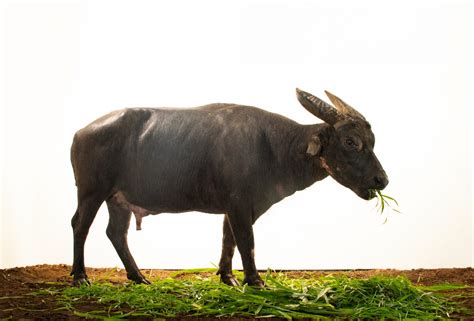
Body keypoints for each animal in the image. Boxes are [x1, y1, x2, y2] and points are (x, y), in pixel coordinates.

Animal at [71, 87, 388, 284]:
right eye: (351, 142)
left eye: (372, 141)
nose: (382, 180)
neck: (274, 147)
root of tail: (81, 132)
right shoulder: (239, 205)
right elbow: (247, 241)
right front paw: (256, 281)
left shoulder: (235, 208)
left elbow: (228, 240)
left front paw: (228, 277)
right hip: (91, 192)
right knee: (80, 226)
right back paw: (80, 277)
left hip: (118, 200)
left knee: (116, 233)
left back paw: (138, 276)